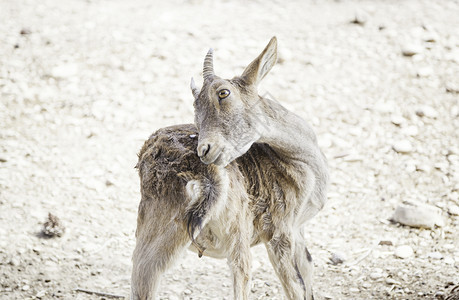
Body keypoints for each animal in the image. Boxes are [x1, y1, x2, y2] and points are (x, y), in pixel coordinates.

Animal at [131, 37, 328, 300]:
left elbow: (307, 271)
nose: (204, 150)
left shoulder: (298, 230)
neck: (299, 161)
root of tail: (204, 176)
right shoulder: (280, 230)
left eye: (223, 93)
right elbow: (296, 287)